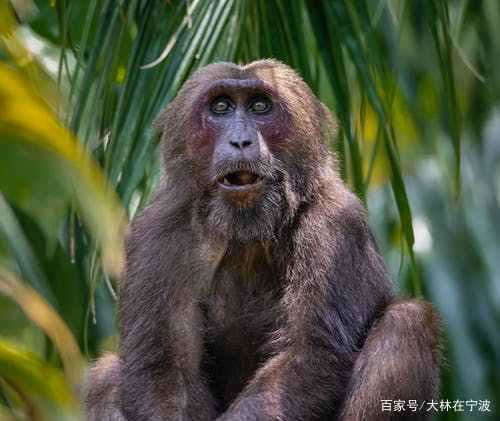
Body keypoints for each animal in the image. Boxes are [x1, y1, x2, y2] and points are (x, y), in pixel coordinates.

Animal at [86, 60, 442, 420]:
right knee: (105, 377)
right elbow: (166, 369)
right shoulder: (158, 234)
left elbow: (307, 354)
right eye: (221, 107)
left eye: (260, 107)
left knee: (405, 323)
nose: (241, 141)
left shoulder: (335, 224)